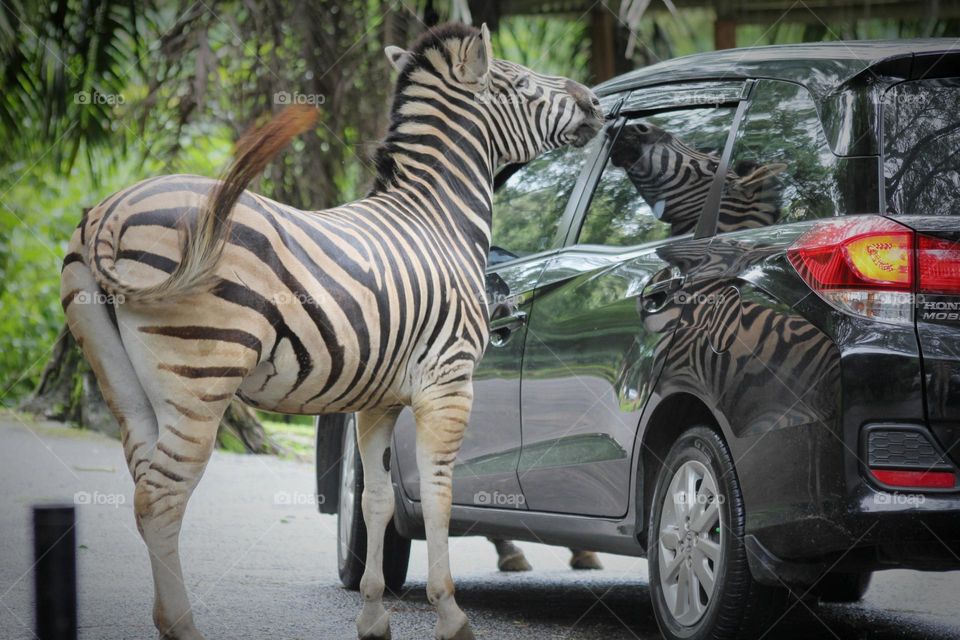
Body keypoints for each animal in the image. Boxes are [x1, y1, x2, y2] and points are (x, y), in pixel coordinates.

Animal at [60, 22, 603, 640]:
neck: (438, 219)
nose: (595, 102)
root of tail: (107, 213)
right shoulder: (448, 383)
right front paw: (450, 614)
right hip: (201, 371)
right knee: (161, 496)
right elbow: (439, 497)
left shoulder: (377, 400)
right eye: (517, 81)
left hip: (123, 381)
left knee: (142, 488)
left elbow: (376, 501)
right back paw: (182, 626)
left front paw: (372, 615)